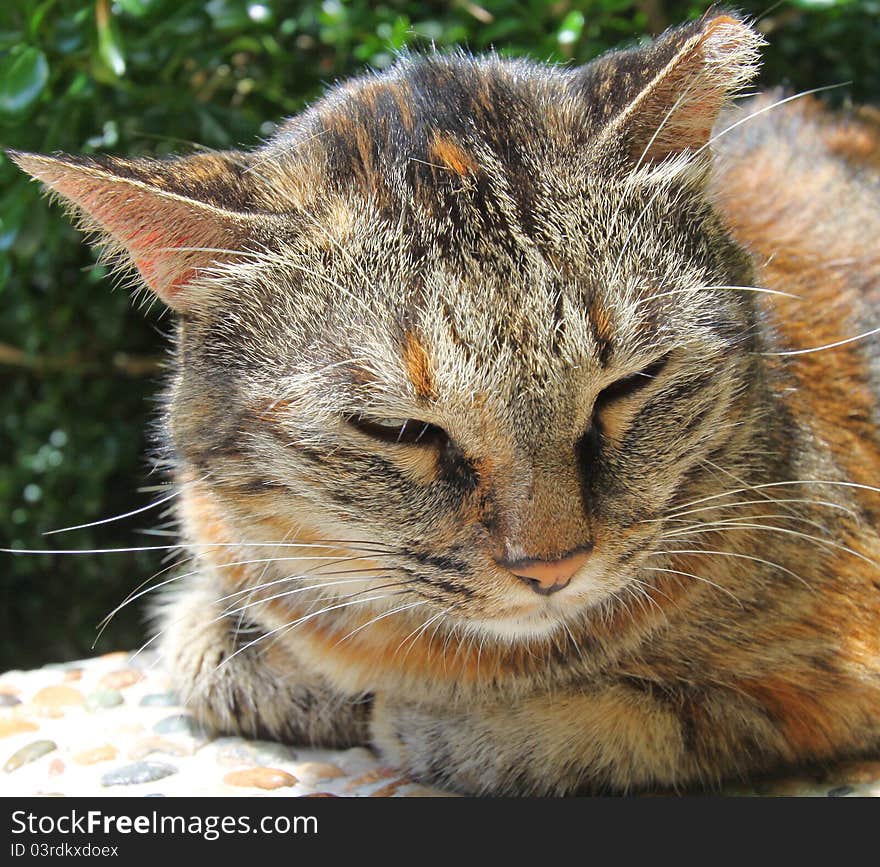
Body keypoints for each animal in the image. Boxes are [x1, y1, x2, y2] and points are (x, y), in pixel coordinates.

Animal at [10, 10, 880, 796]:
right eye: (399, 429)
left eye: (628, 384)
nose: (552, 566)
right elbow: (201, 645)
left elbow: (649, 721)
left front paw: (441, 720)